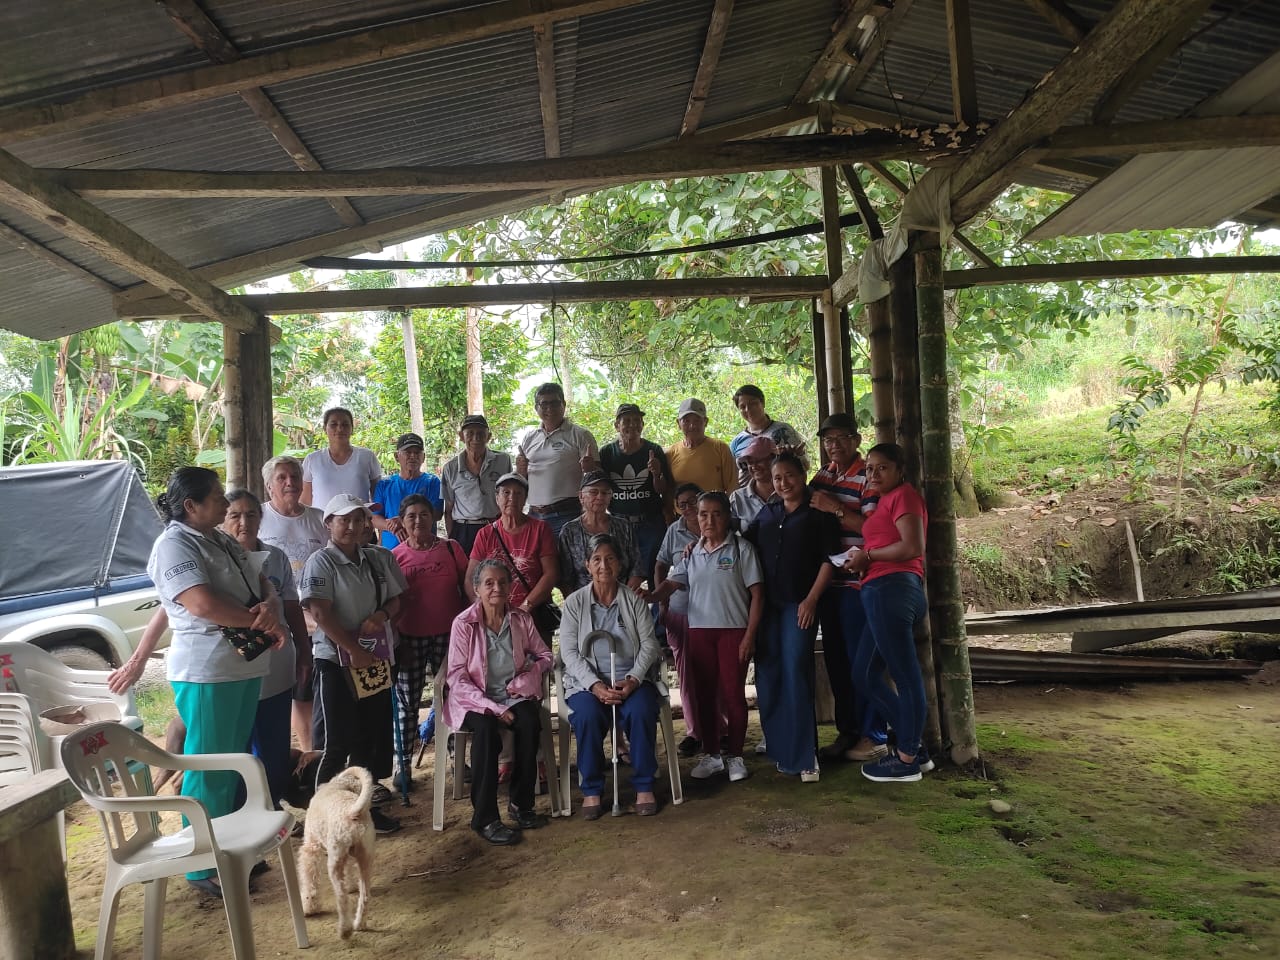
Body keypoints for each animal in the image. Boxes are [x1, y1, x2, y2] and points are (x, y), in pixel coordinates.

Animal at [296, 765, 376, 939]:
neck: (339, 785)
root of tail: (352, 812)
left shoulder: (311, 848)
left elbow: (310, 881)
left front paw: (309, 906)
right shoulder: (349, 856)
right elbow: (349, 872)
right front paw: (351, 886)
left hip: (334, 862)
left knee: (342, 898)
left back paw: (345, 930)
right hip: (365, 860)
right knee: (365, 896)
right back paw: (359, 925)